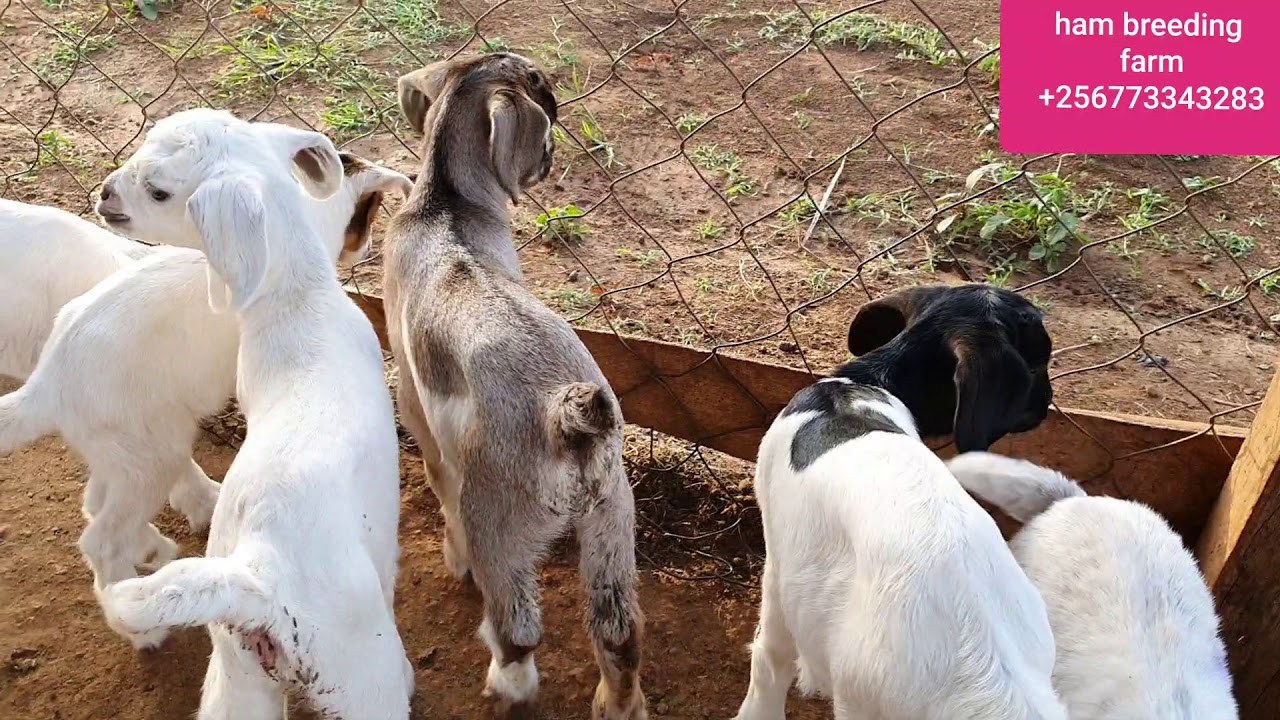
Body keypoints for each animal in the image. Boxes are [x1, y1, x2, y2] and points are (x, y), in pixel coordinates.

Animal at [0, 152, 409, 604]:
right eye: (369, 214)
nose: (368, 248)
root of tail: (47, 383)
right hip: (150, 457)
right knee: (101, 538)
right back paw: (130, 600)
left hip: (122, 450)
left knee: (95, 503)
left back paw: (151, 549)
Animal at [94, 108, 412, 718]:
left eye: (158, 190)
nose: (104, 194)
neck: (301, 302)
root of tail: (259, 576)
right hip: (361, 676)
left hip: (239, 676)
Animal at [384, 52, 645, 720]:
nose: (552, 157)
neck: (444, 207)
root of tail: (567, 414)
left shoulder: (416, 408)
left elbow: (438, 482)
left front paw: (453, 560)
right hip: (611, 519)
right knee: (618, 632)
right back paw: (616, 702)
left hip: (499, 525)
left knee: (519, 631)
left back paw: (506, 683)